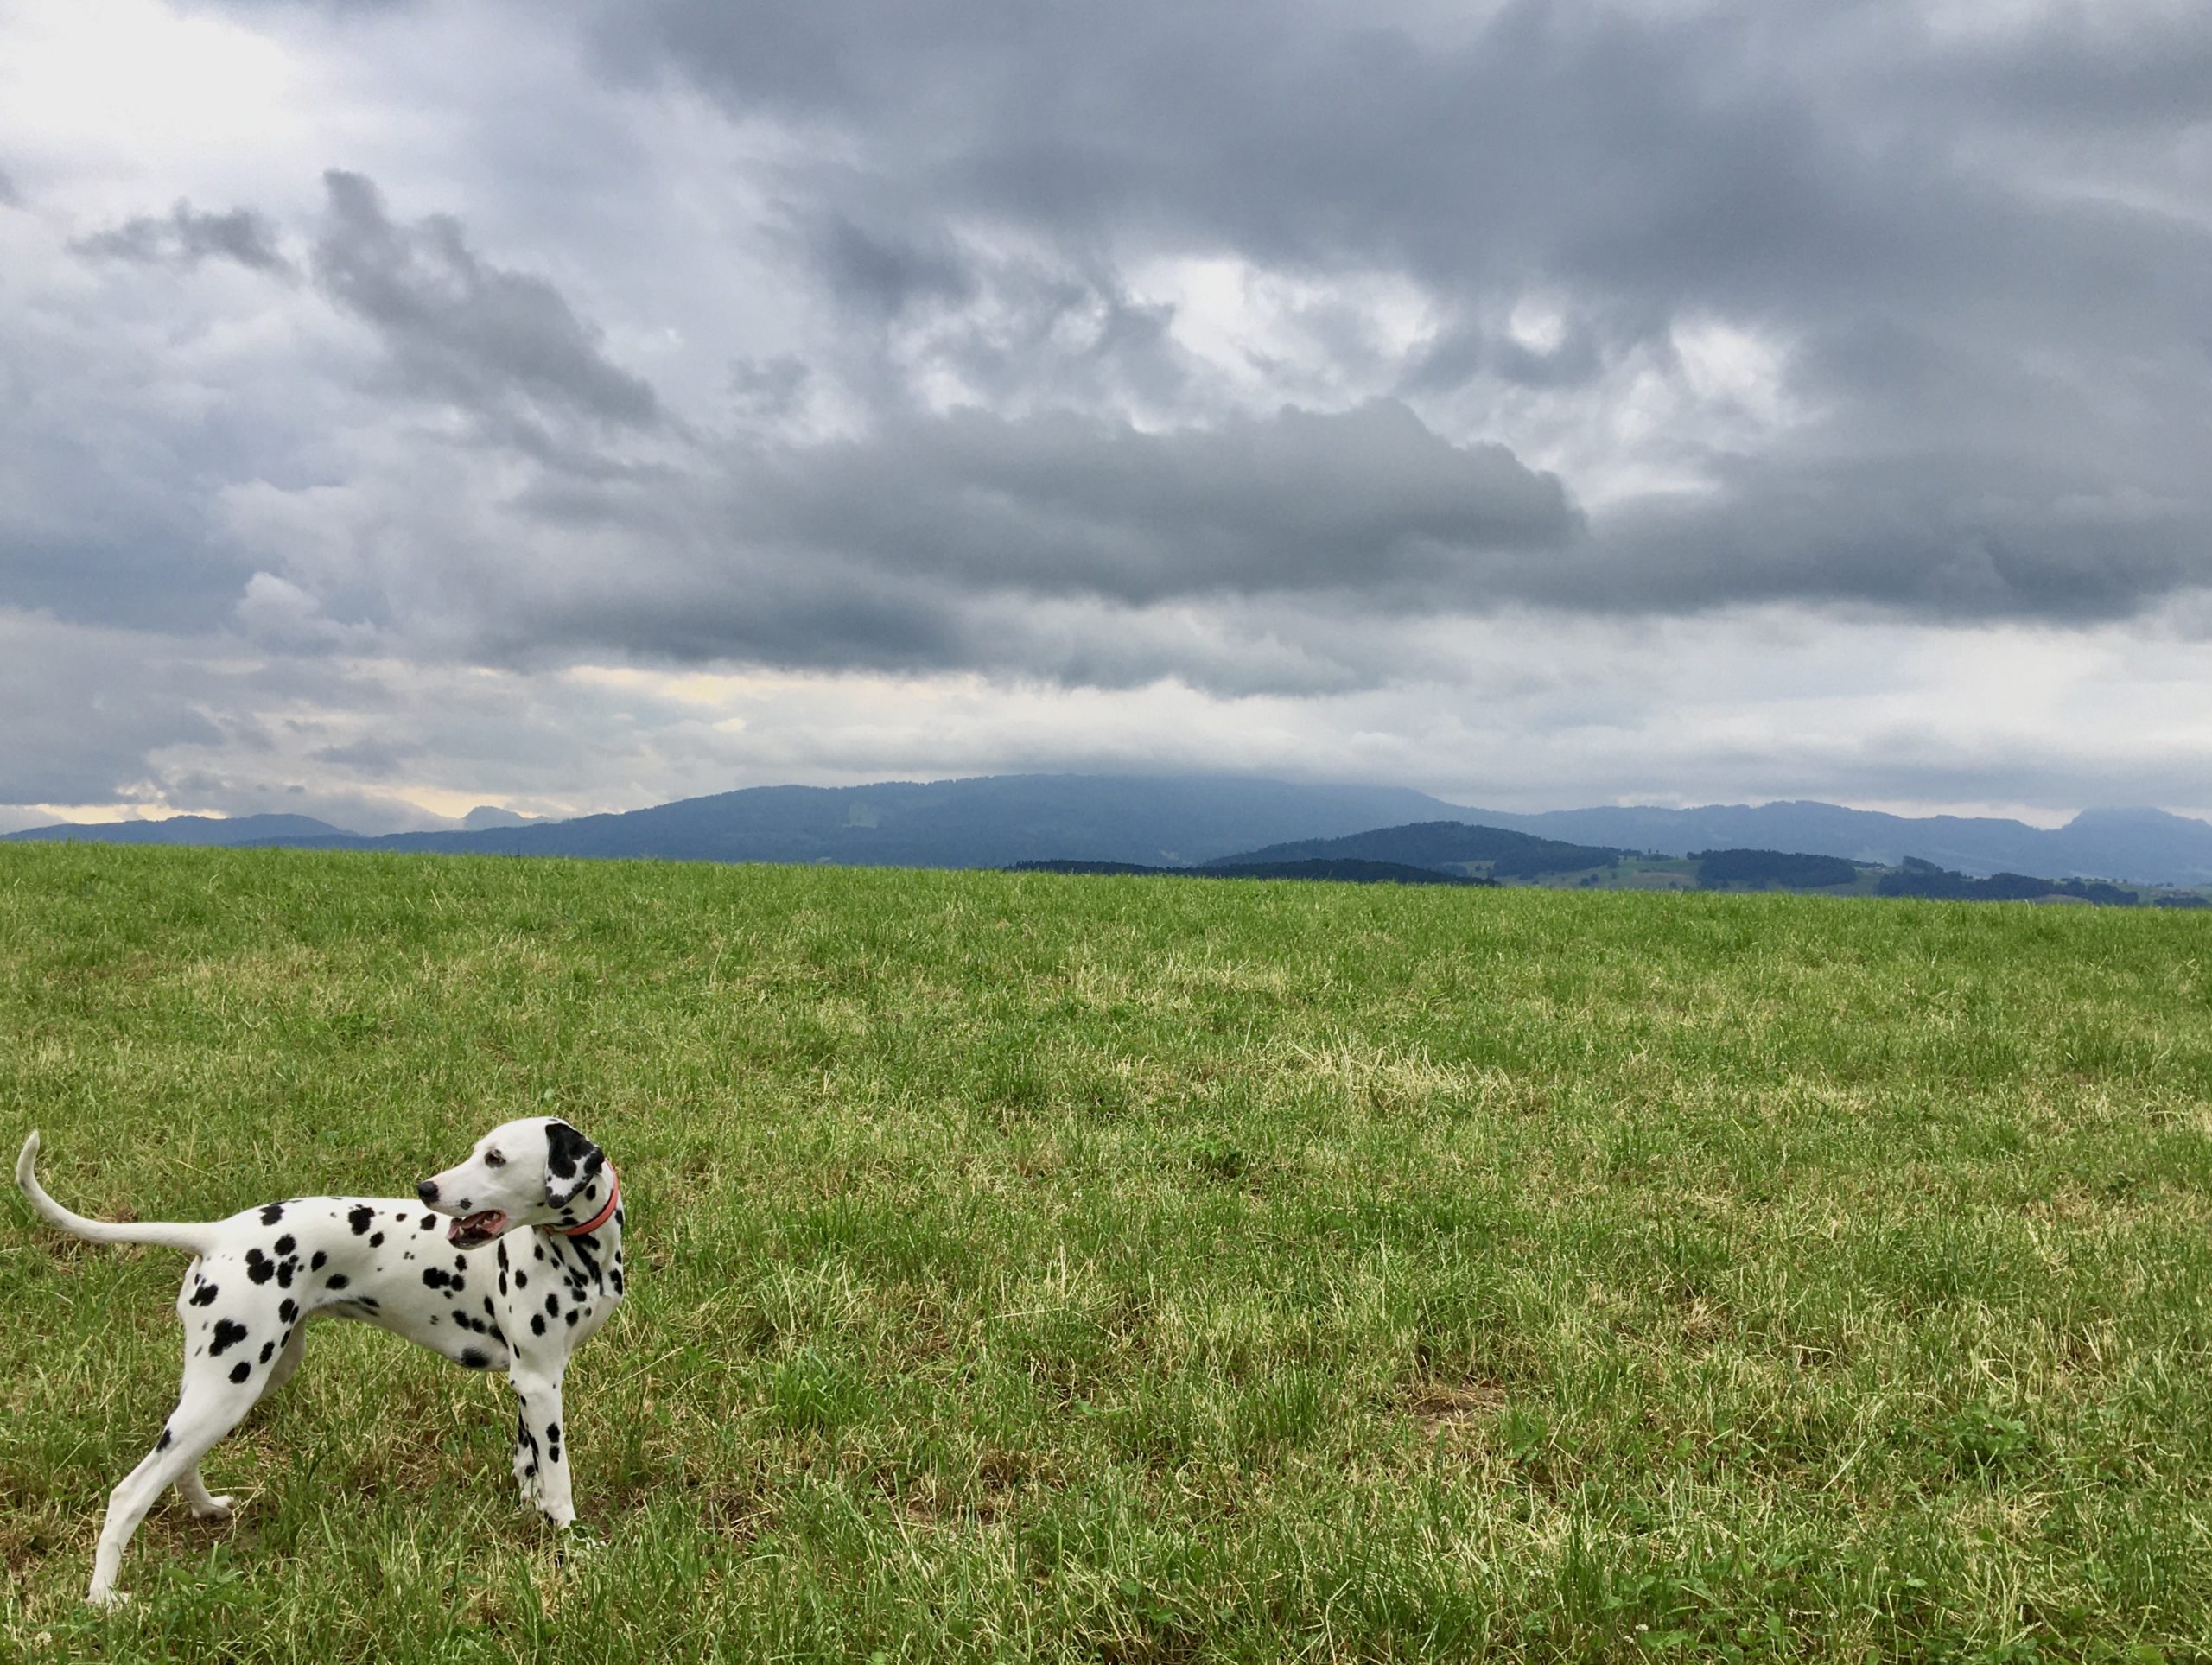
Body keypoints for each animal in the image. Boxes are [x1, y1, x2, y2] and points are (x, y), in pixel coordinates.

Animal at [17, 1118, 623, 1600]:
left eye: (494, 1158)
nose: (426, 1188)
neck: (581, 1256)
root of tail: (217, 1234)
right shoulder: (541, 1383)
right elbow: (558, 1476)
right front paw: (572, 1540)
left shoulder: (528, 1383)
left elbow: (529, 1466)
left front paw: (531, 1514)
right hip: (229, 1390)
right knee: (129, 1494)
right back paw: (103, 1598)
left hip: (237, 1380)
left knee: (175, 1459)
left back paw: (205, 1509)